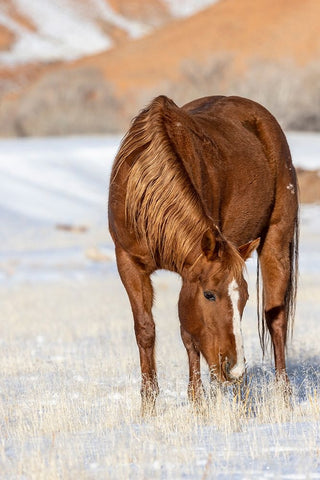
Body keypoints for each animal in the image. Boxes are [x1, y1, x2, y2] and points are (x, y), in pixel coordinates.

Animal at [109, 94, 298, 412]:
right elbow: (145, 329)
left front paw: (197, 400)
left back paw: (277, 395)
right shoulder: (128, 262)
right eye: (210, 295)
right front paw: (149, 405)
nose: (234, 369)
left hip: (276, 244)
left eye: (245, 297)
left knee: (276, 320)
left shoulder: (191, 271)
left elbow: (188, 334)